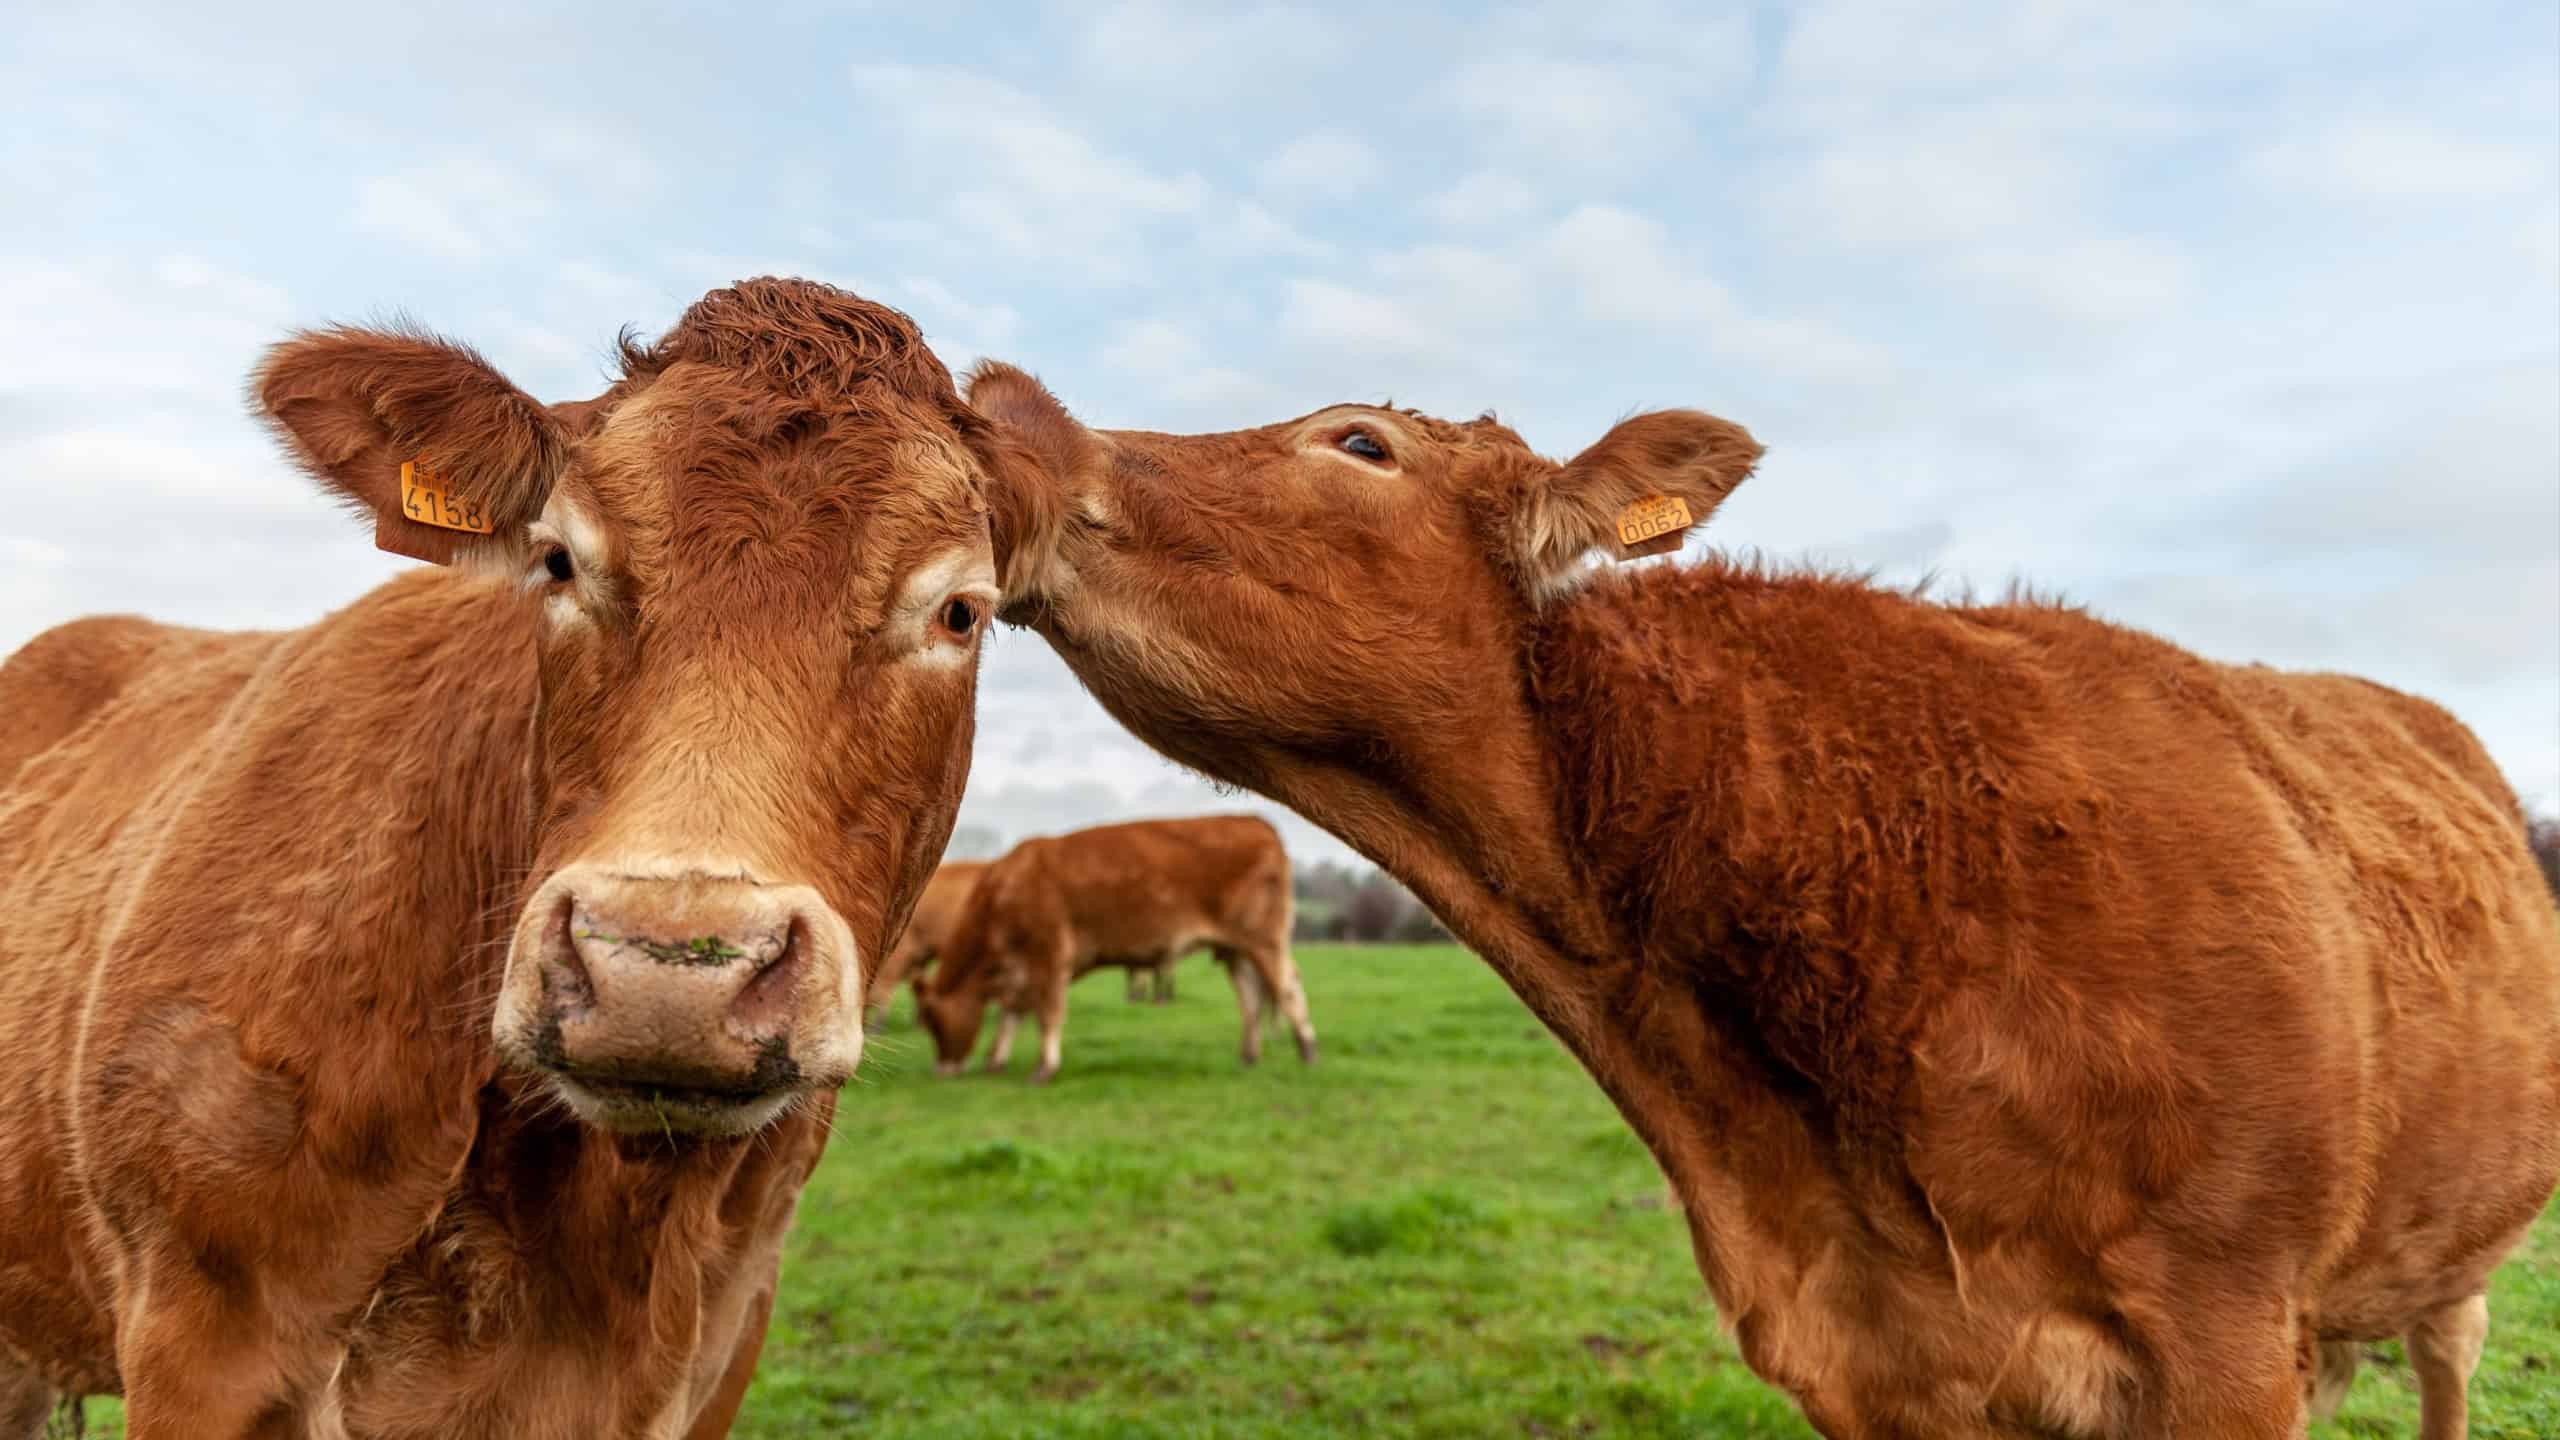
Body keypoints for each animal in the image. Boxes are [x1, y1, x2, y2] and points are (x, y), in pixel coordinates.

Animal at [914, 815, 1312, 1084]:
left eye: (933, 1020)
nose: (941, 1070)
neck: (1006, 889)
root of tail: (1257, 824)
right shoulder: (1022, 969)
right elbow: (1012, 1015)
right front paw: (995, 1060)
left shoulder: (1049, 955)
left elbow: (1047, 1014)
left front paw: (1045, 1068)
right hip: (1235, 949)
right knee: (1251, 999)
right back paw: (1249, 1056)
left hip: (1264, 941)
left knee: (1288, 987)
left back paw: (1307, 1051)